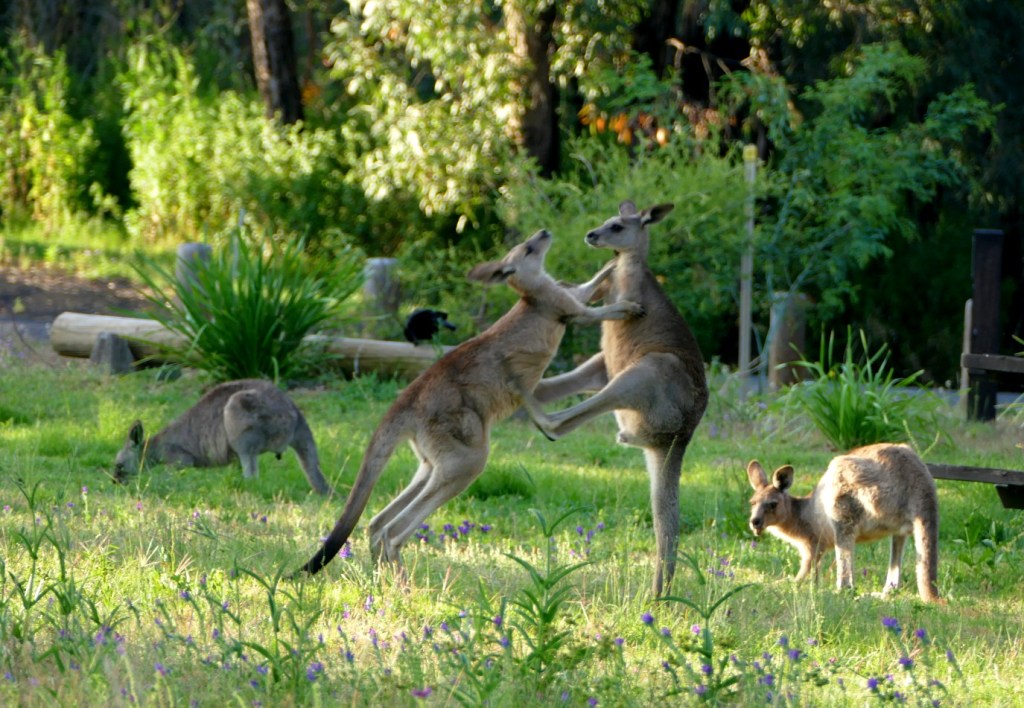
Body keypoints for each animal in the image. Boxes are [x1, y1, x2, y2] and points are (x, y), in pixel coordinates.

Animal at [114, 379, 331, 495]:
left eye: (119, 466)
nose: (115, 483)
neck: (152, 449)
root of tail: (296, 415)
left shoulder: (179, 458)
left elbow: (174, 470)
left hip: (242, 417)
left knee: (251, 472)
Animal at [296, 229, 643, 576]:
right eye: (529, 249)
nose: (544, 232)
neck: (531, 292)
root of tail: (405, 403)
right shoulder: (563, 306)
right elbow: (591, 313)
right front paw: (628, 306)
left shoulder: (566, 295)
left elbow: (586, 288)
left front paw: (610, 266)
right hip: (465, 453)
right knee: (393, 530)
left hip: (433, 460)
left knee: (377, 522)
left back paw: (385, 577)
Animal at [512, 200, 708, 596]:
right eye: (605, 222)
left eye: (616, 226)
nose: (591, 235)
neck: (628, 265)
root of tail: (676, 440)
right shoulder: (605, 286)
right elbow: (584, 290)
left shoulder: (627, 287)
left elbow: (597, 305)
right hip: (604, 367)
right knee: (562, 389)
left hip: (650, 371)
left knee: (557, 424)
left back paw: (534, 408)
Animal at [745, 443, 940, 602]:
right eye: (752, 503)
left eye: (773, 504)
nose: (755, 522)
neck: (801, 514)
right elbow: (815, 571)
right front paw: (813, 587)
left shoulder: (812, 544)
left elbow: (808, 566)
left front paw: (790, 585)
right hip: (896, 525)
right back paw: (881, 595)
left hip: (847, 499)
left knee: (847, 581)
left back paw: (838, 593)